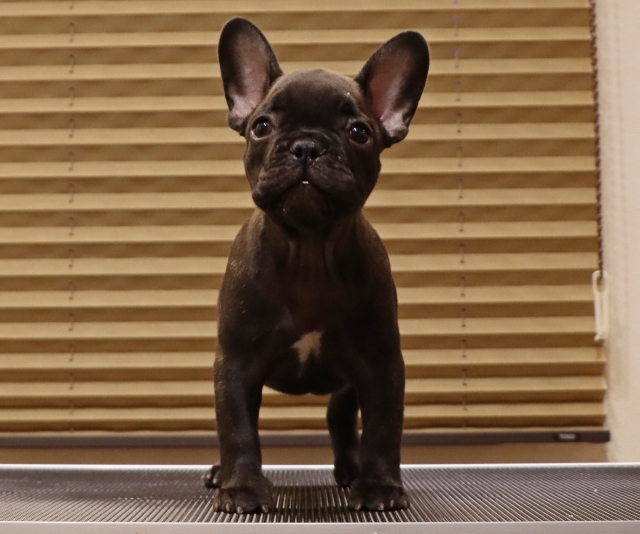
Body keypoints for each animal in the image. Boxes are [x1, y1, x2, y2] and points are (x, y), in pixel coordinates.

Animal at [204, 17, 429, 514]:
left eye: (359, 132)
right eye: (261, 126)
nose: (306, 147)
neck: (308, 251)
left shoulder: (381, 364)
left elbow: (384, 426)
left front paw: (379, 485)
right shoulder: (235, 365)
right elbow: (237, 429)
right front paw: (242, 487)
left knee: (340, 419)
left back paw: (352, 470)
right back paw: (218, 473)